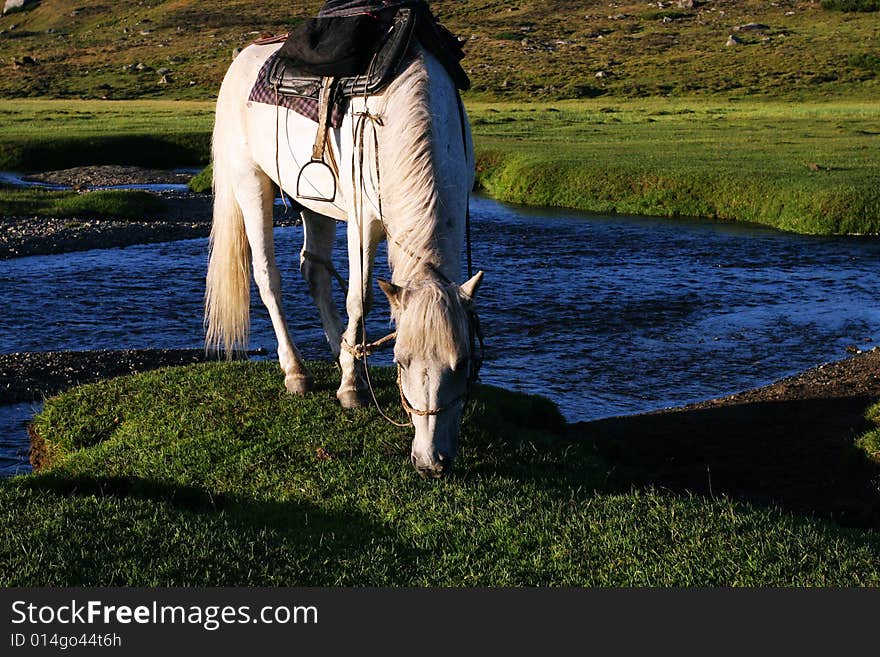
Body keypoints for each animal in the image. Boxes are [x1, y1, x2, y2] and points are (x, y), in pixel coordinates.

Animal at [204, 38, 484, 476]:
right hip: (251, 183)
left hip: (313, 200)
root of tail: (243, 56)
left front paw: (351, 367)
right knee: (268, 277)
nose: (430, 462)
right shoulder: (362, 223)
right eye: (401, 361)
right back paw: (297, 372)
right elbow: (360, 299)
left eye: (464, 362)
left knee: (313, 270)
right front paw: (352, 389)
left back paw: (342, 352)